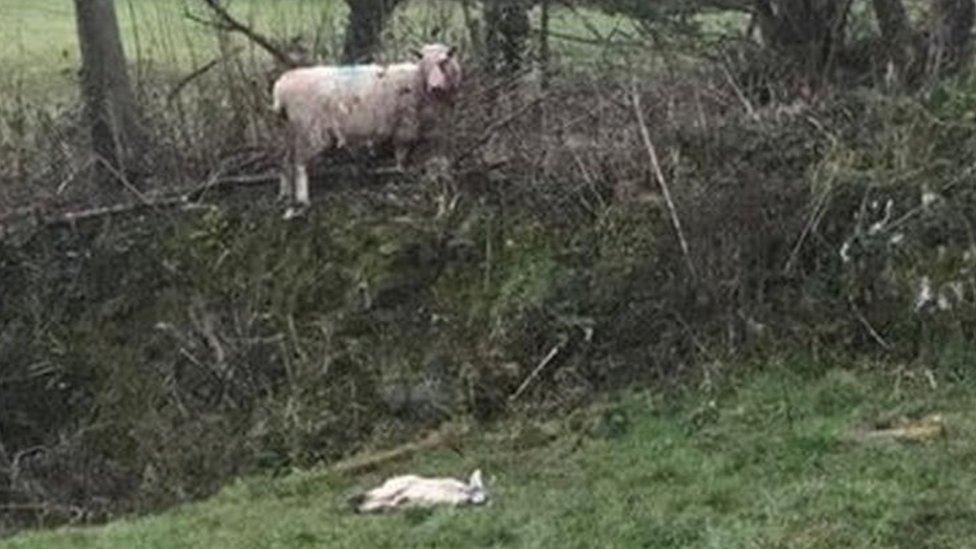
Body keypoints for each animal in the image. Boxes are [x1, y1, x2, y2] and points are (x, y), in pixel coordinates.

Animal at [268, 43, 464, 218]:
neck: (416, 80)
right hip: (310, 131)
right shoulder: (406, 125)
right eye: (424, 63)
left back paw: (284, 195)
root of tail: (281, 88)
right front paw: (402, 172)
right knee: (299, 163)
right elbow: (402, 153)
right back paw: (303, 200)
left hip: (289, 131)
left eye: (444, 61)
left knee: (285, 160)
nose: (435, 87)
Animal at [348, 468, 488, 512]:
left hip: (386, 499)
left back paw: (357, 506)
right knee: (375, 494)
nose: (483, 500)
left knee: (375, 503)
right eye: (479, 490)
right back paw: (354, 498)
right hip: (396, 486)